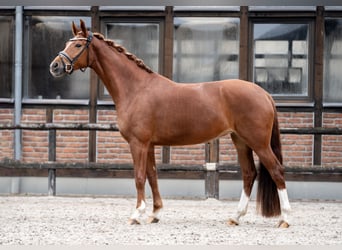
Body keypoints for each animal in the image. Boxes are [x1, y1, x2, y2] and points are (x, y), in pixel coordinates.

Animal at [50, 20, 292, 227]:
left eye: (78, 44)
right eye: (66, 43)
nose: (55, 66)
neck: (136, 89)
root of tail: (263, 93)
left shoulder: (138, 144)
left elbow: (139, 177)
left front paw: (136, 214)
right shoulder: (149, 145)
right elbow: (152, 176)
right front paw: (155, 213)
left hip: (258, 142)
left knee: (276, 170)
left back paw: (285, 218)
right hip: (240, 141)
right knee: (249, 174)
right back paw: (235, 217)